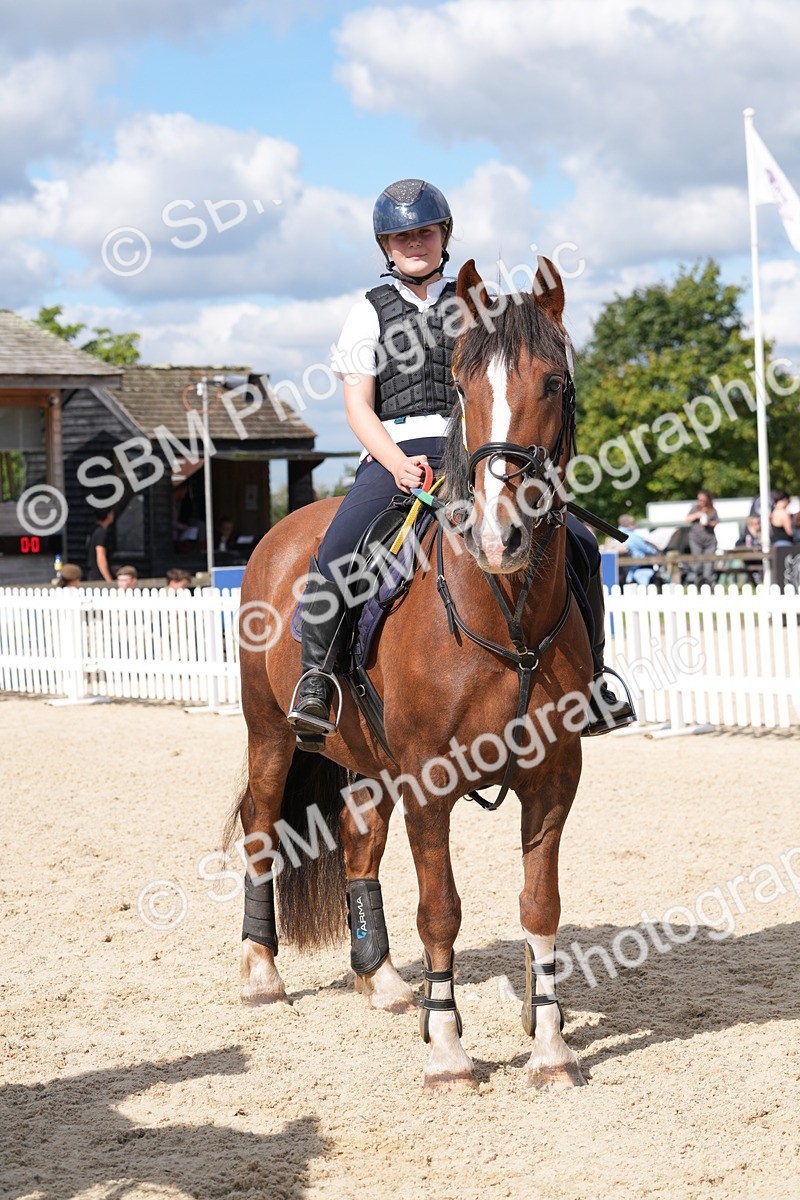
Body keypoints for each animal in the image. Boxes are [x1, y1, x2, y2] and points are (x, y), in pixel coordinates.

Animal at [230, 257, 592, 1091]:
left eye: (554, 383)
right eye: (461, 386)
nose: (501, 537)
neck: (504, 614)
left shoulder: (554, 779)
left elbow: (540, 906)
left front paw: (549, 1047)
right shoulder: (431, 783)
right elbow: (442, 911)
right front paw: (449, 1050)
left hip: (368, 764)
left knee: (359, 845)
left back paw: (384, 979)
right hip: (270, 736)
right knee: (260, 828)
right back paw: (262, 971)